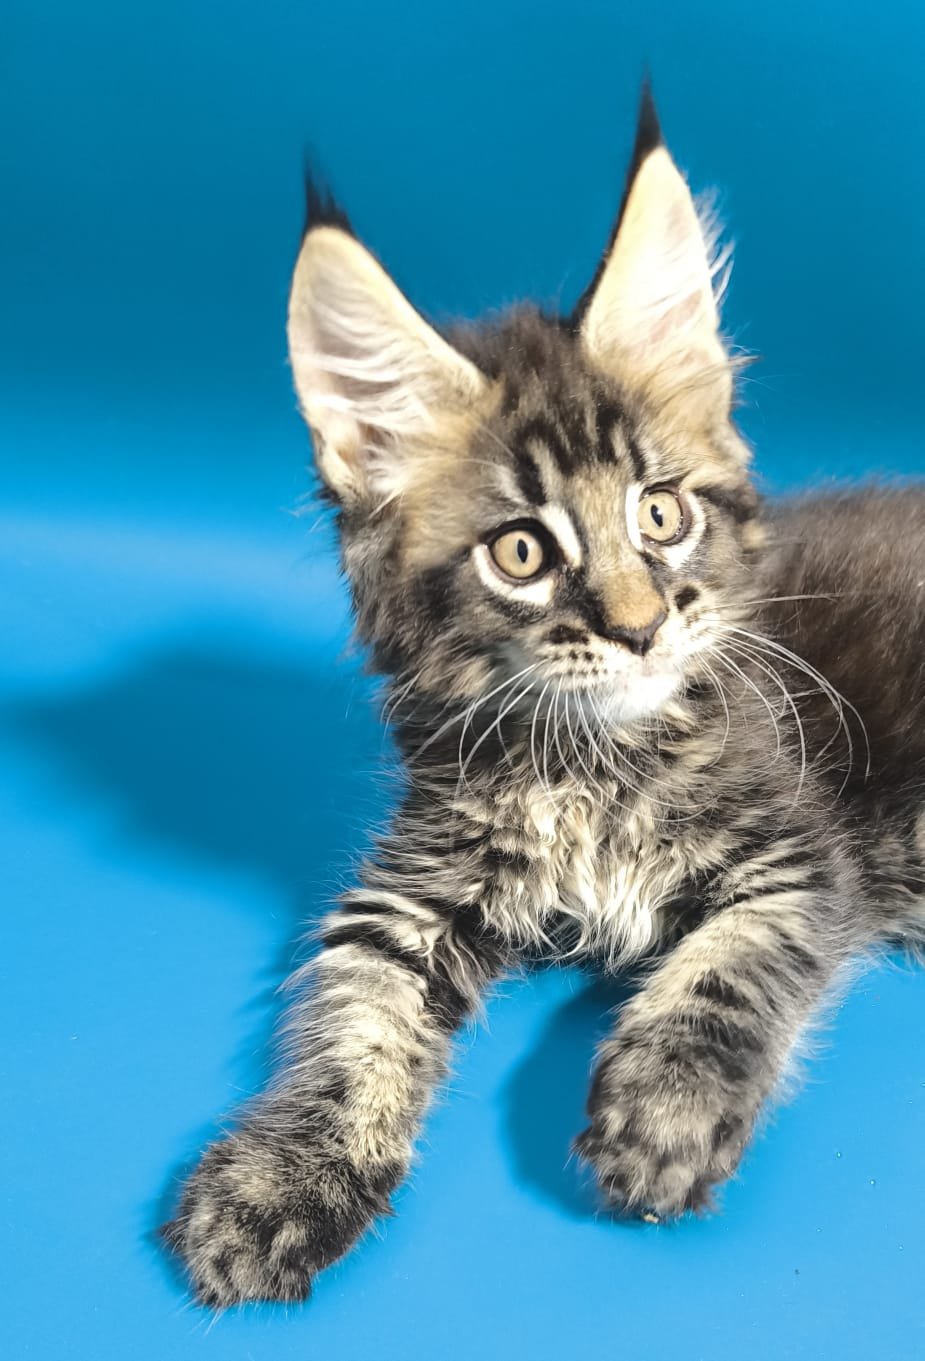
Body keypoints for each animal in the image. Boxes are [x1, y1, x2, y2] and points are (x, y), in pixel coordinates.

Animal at [163, 86, 925, 1306]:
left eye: (661, 513)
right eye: (520, 552)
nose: (641, 625)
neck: (589, 762)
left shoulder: (804, 855)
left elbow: (728, 965)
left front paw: (666, 1107)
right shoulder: (409, 889)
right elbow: (351, 1015)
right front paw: (282, 1177)